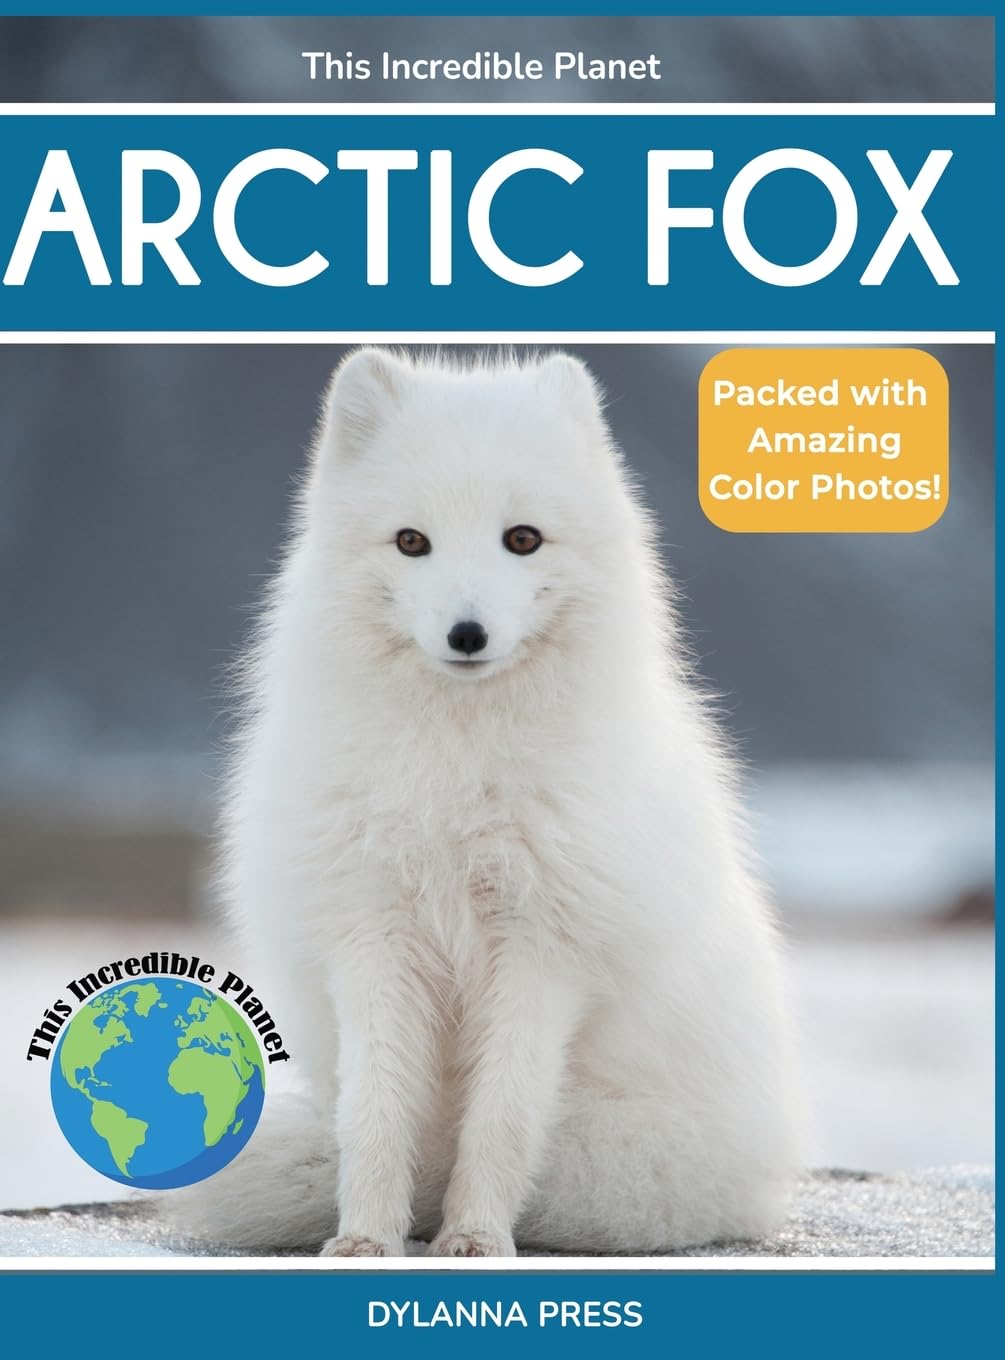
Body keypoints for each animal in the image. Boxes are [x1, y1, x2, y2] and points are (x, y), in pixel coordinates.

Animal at [170, 348, 801, 1257]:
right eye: (411, 542)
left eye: (522, 539)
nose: (466, 634)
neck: (456, 776)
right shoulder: (372, 936)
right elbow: (372, 1112)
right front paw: (365, 1238)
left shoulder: (543, 950)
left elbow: (501, 1117)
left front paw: (471, 1235)